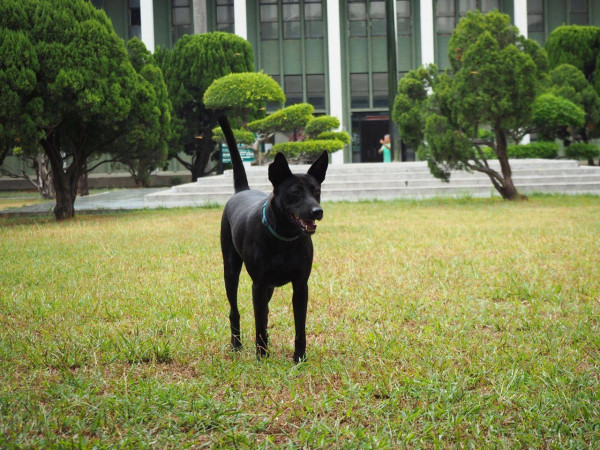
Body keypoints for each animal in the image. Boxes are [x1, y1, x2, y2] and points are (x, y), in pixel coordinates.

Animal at [217, 115, 328, 362]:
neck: (283, 239)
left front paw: (299, 357)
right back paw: (237, 344)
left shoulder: (300, 285)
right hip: (231, 270)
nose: (317, 211)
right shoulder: (258, 284)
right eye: (295, 192)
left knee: (264, 312)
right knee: (234, 310)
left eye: (316, 191)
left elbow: (299, 326)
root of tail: (242, 190)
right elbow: (258, 321)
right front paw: (261, 356)